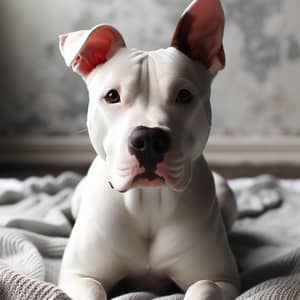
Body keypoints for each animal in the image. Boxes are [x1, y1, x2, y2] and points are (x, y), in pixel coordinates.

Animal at [58, 0, 239, 300]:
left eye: (184, 95)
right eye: (112, 96)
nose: (149, 139)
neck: (148, 203)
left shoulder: (223, 280)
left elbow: (205, 287)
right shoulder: (78, 276)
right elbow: (93, 290)